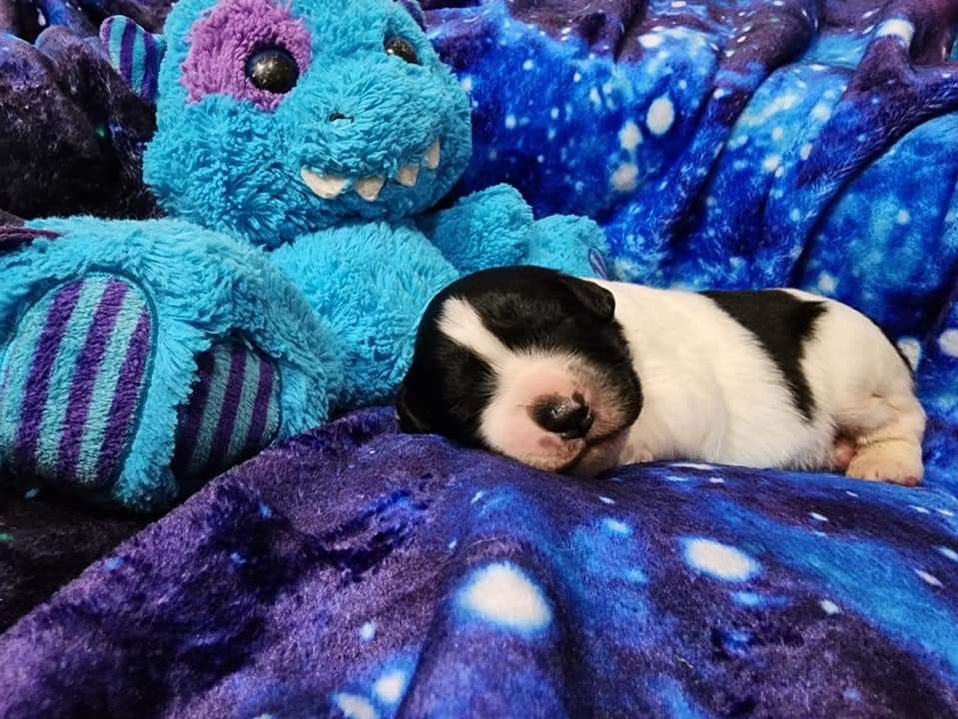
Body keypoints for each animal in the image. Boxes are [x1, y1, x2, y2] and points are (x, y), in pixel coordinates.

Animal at [396, 266, 926, 485]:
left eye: (562, 325)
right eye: (467, 400)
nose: (567, 414)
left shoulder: (688, 399)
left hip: (855, 374)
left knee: (907, 417)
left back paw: (884, 463)